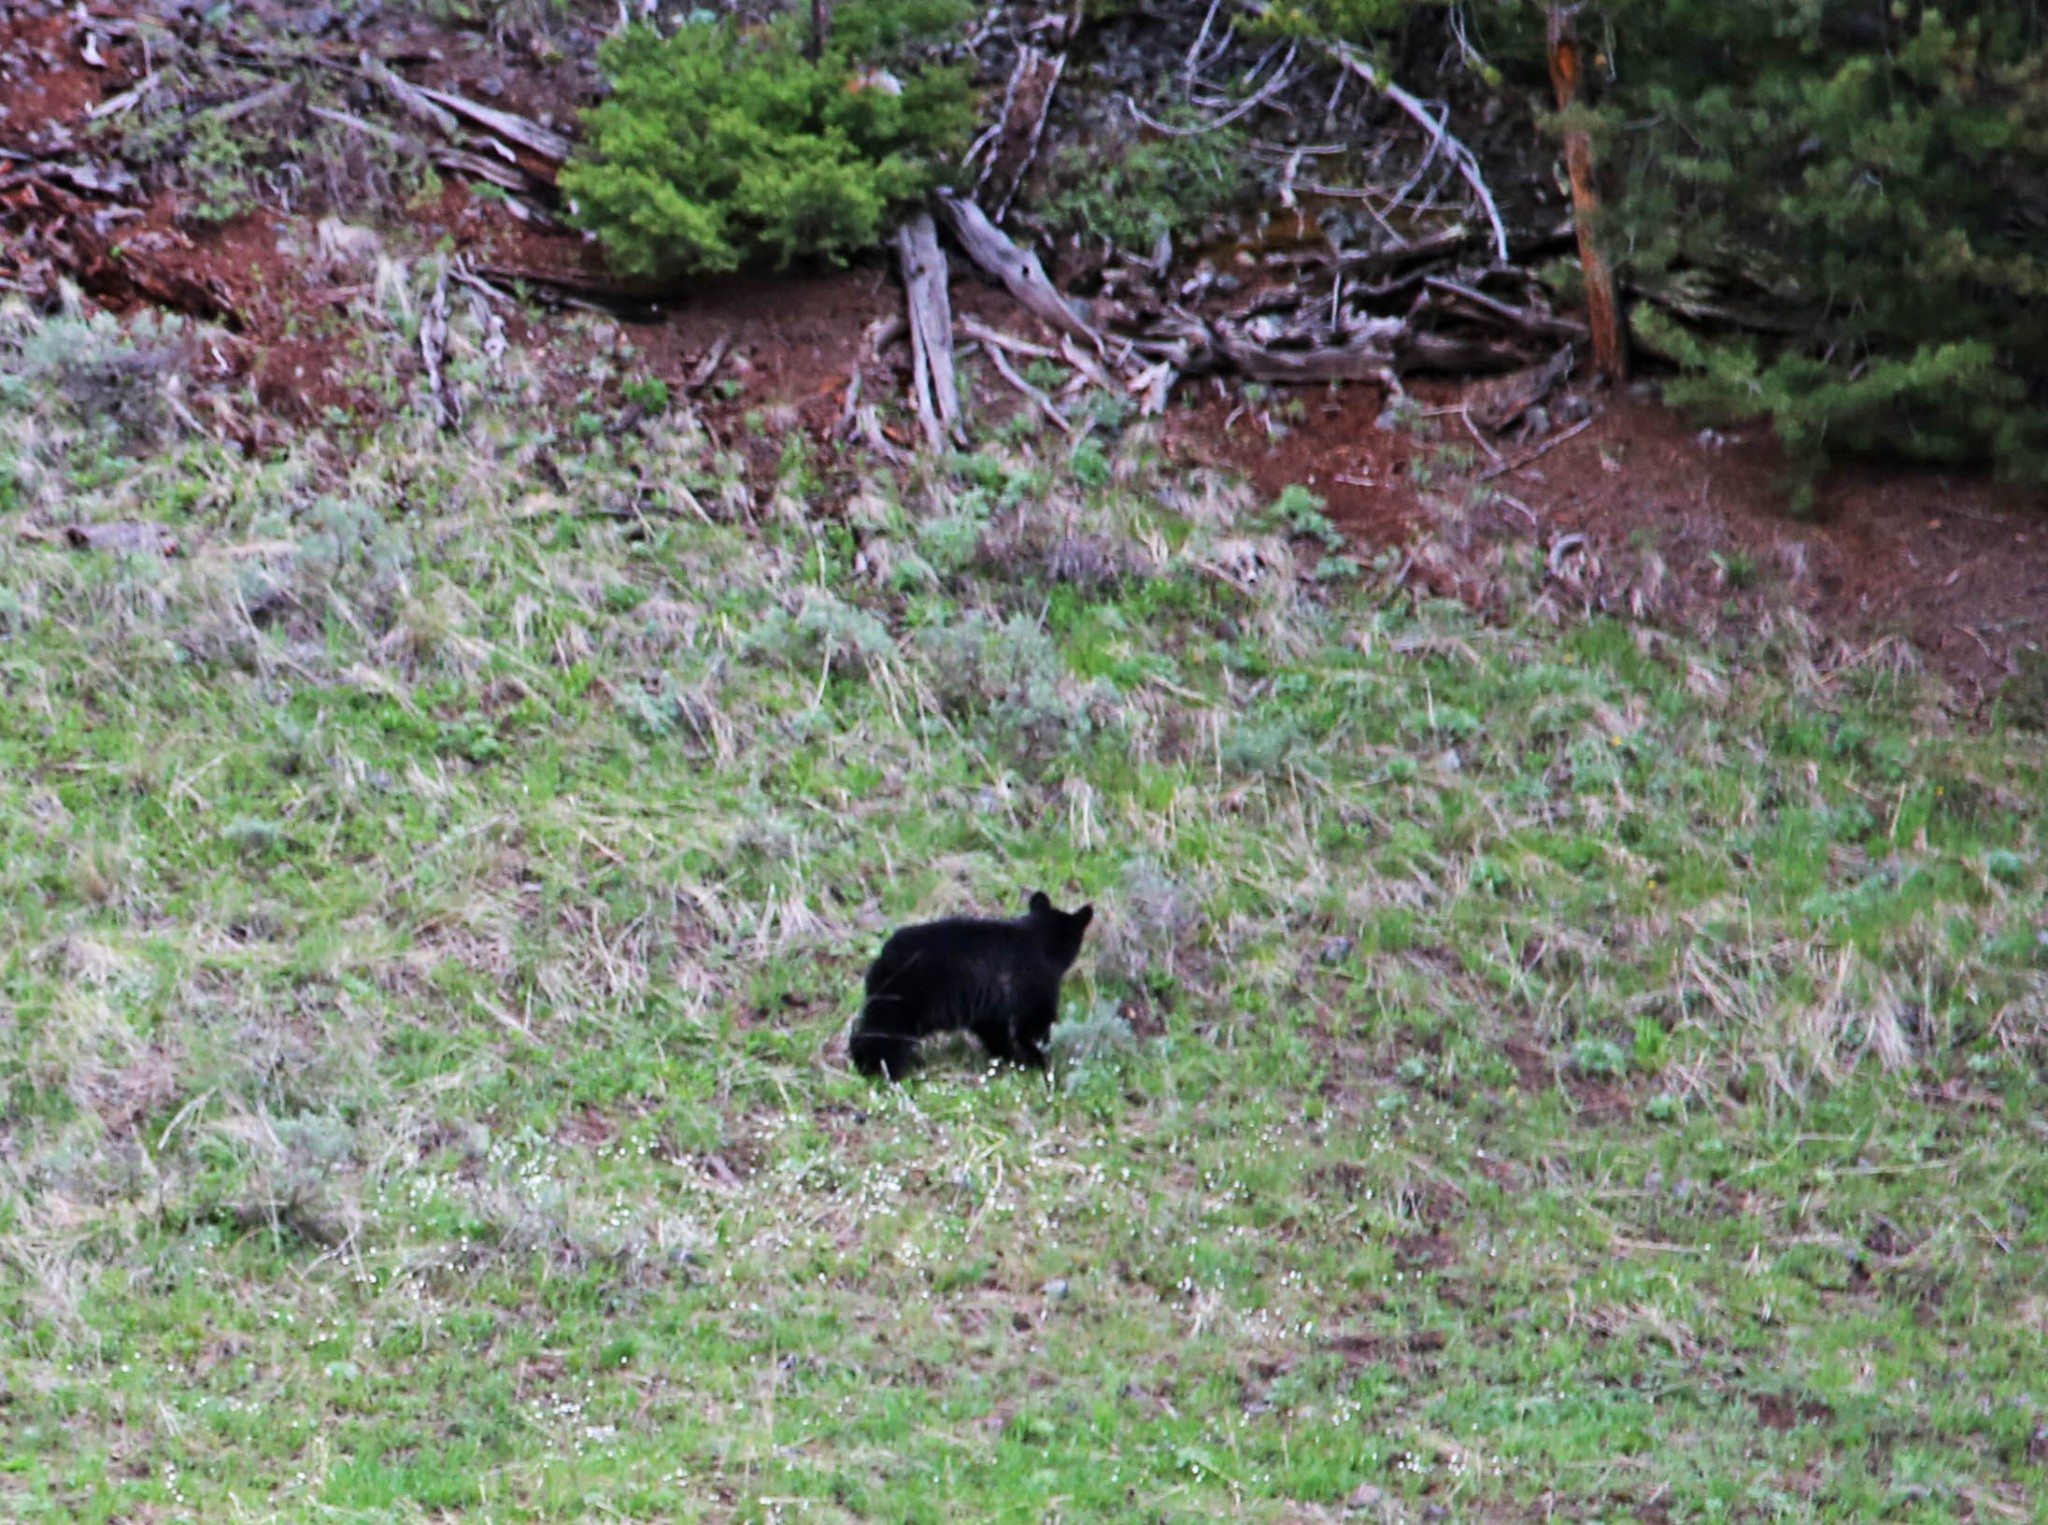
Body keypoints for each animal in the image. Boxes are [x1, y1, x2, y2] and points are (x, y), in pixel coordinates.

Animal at [847, 888, 1097, 1080]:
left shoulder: (989, 1002)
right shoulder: (1034, 985)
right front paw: (1039, 1061)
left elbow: (993, 1029)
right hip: (904, 999)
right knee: (886, 1035)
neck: (1039, 939)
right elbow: (1033, 1025)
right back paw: (882, 1070)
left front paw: (1007, 1057)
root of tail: (884, 957)